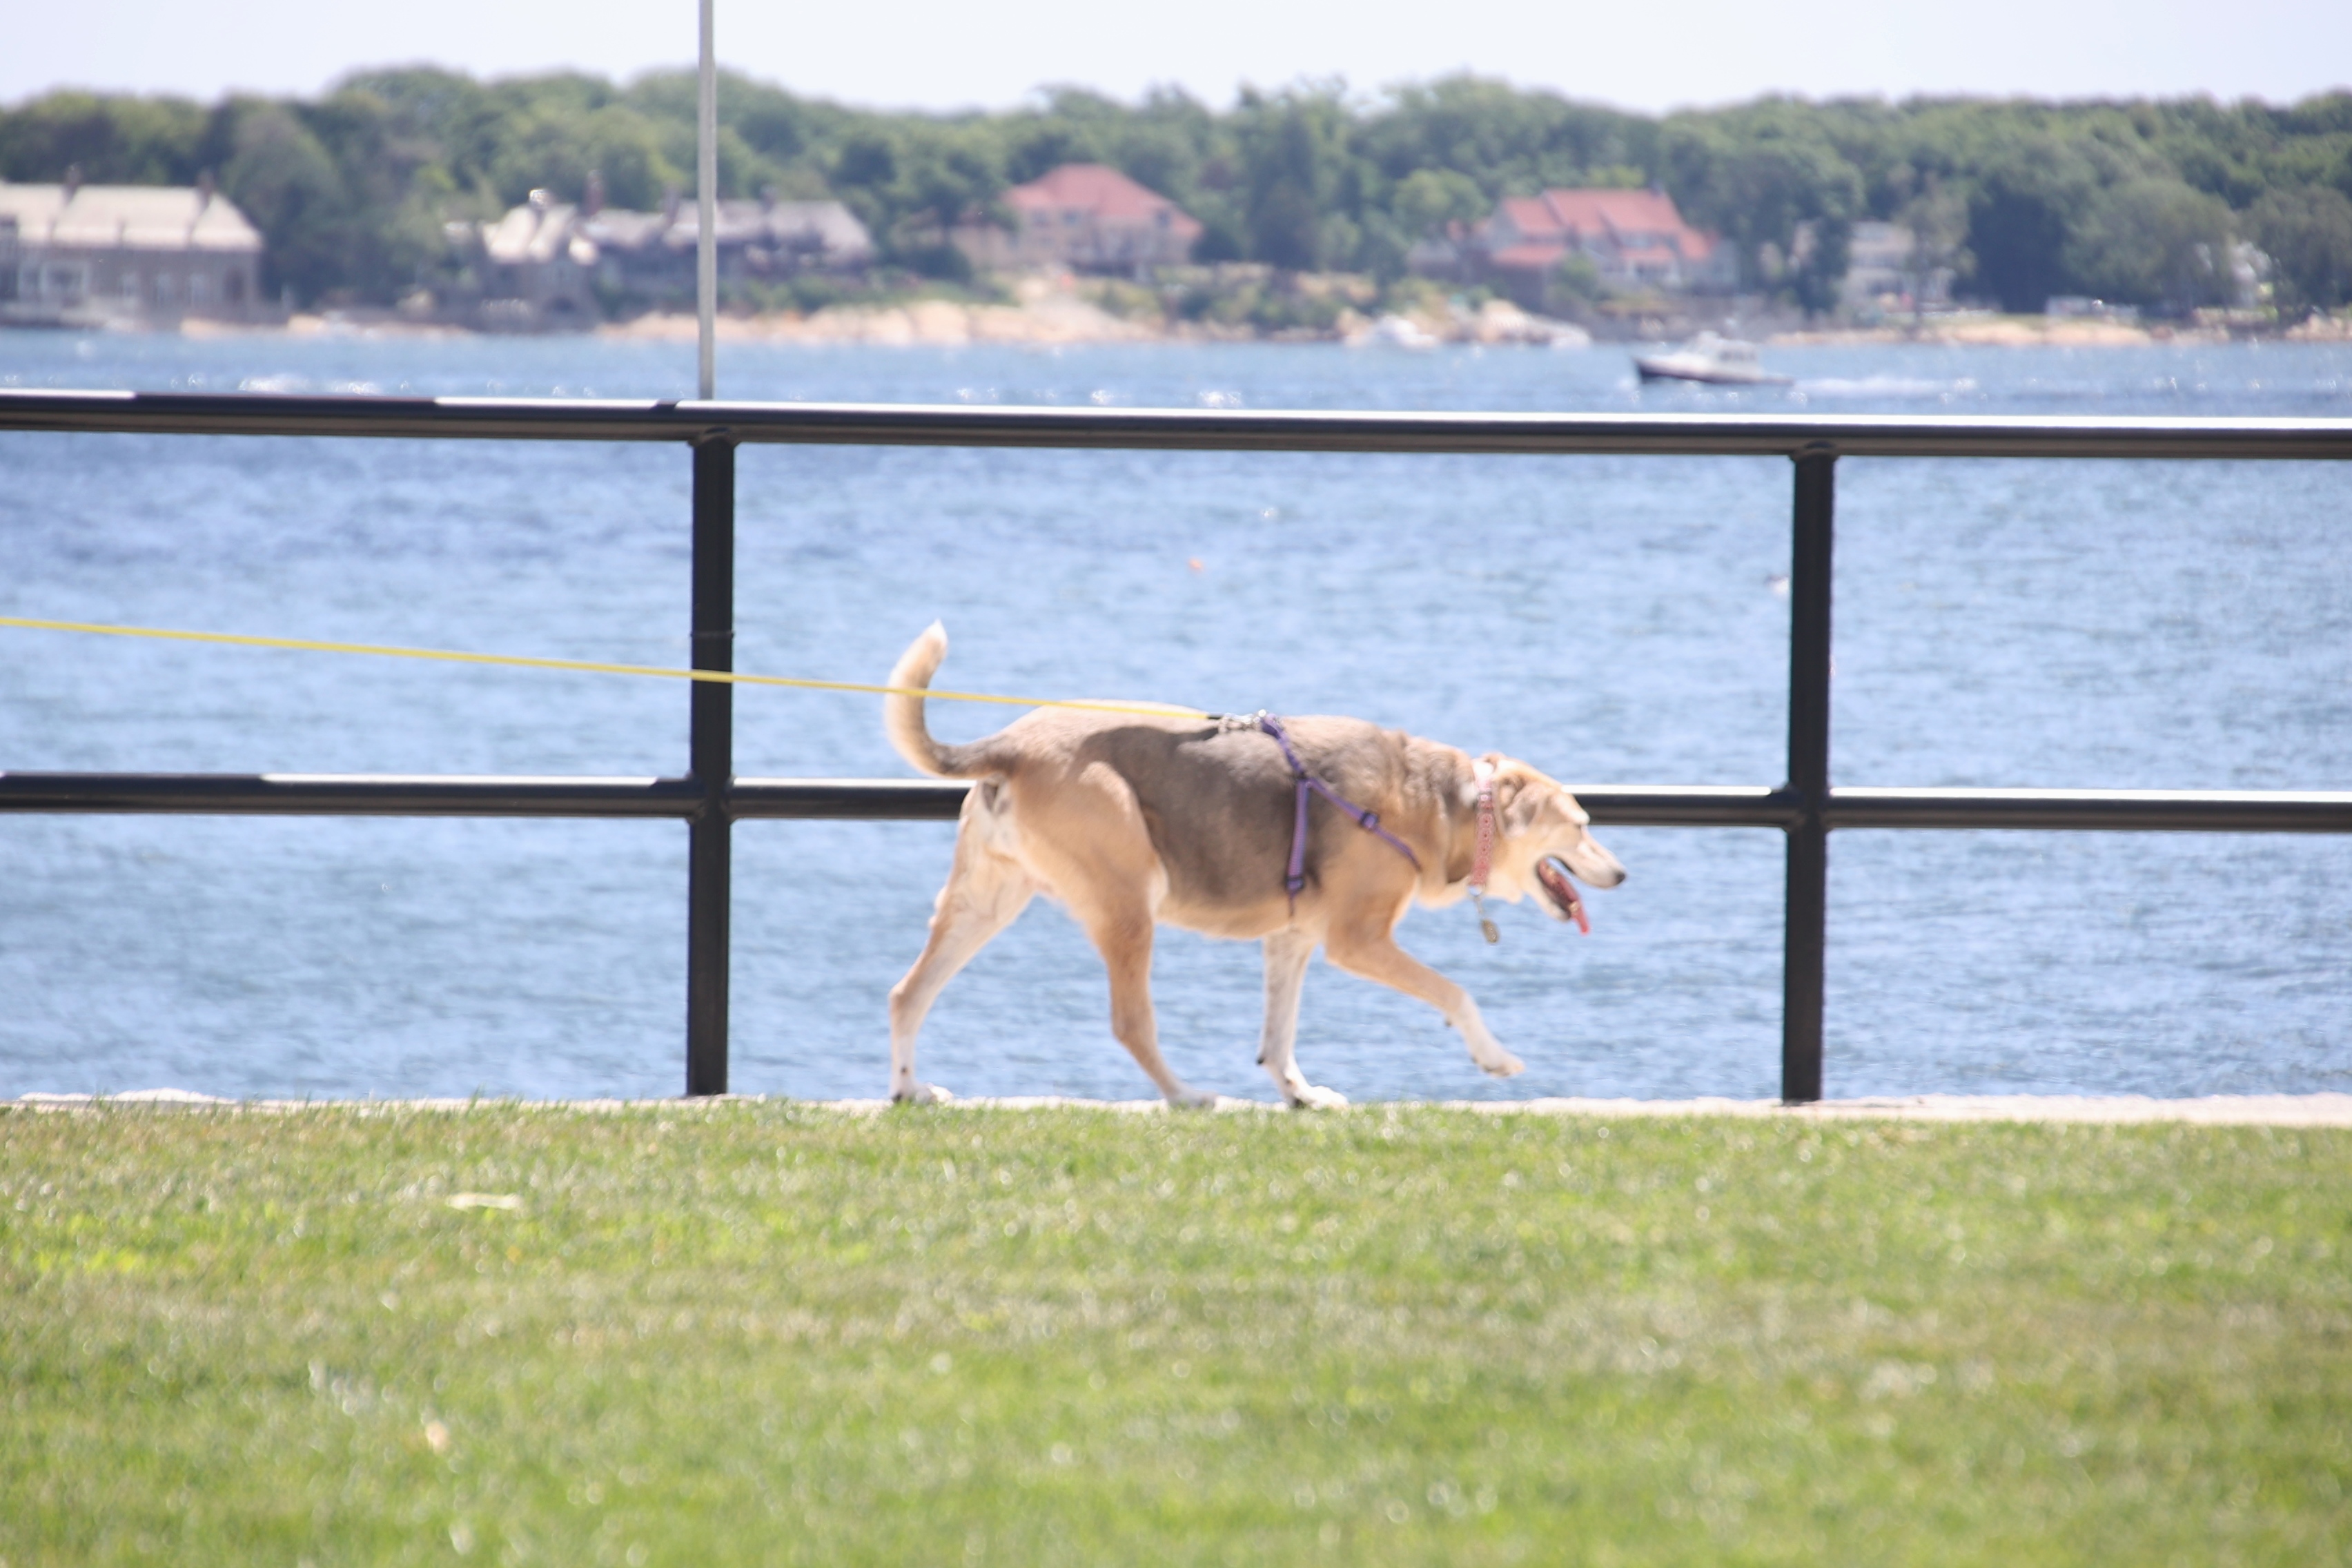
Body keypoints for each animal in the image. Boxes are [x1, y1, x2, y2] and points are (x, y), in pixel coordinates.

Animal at [882, 623, 1625, 1108]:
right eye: (1582, 826)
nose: (1621, 875)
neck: (1443, 798)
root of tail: (1010, 742)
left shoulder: (1292, 938)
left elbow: (1278, 1033)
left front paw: (1300, 1094)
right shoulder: (1356, 940)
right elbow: (1454, 993)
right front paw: (1493, 1056)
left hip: (986, 903)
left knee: (907, 994)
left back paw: (910, 1089)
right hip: (1129, 903)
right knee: (1130, 1022)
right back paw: (1185, 1095)